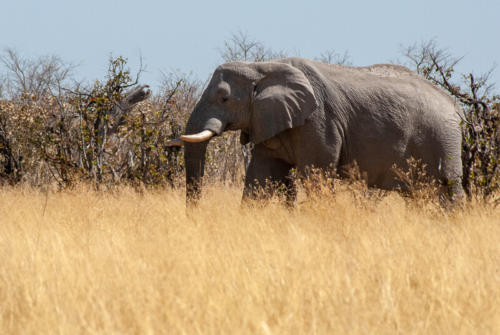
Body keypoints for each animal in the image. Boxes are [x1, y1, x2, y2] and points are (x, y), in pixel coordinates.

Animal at [171, 57, 464, 205]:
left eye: (223, 98)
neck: (263, 67)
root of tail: (454, 105)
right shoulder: (271, 120)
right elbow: (260, 177)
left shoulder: (320, 121)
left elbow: (317, 174)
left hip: (443, 138)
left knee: (448, 188)